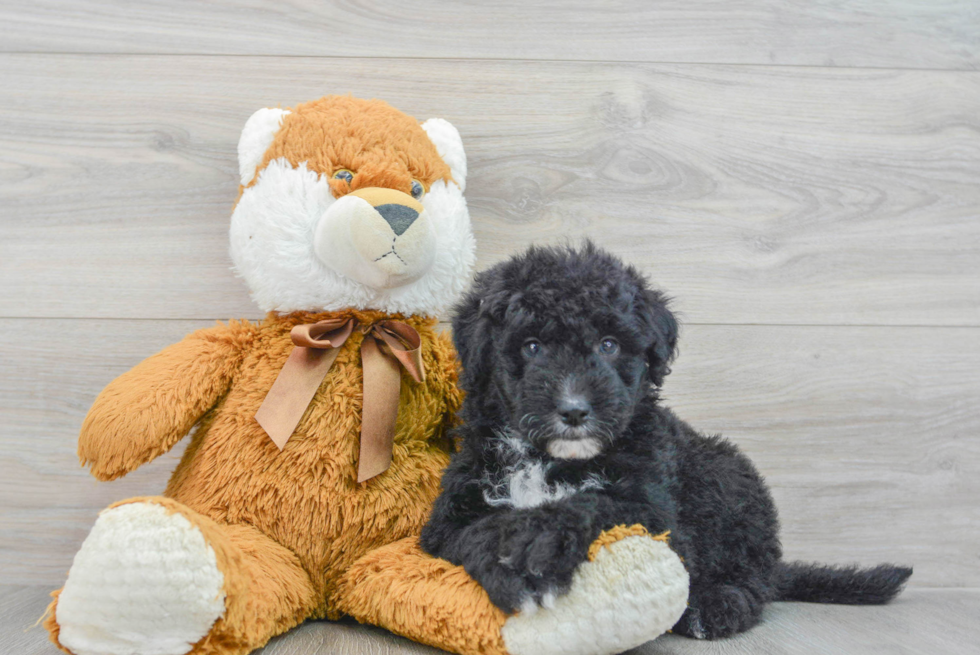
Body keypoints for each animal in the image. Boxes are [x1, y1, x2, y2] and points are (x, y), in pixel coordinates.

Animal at [422, 243, 912, 640]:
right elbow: (473, 532)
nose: (575, 410)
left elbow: (595, 502)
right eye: (531, 346)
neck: (548, 459)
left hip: (728, 478)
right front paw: (513, 566)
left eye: (608, 344)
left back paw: (716, 605)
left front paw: (537, 543)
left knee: (755, 576)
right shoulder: (447, 517)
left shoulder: (657, 510)